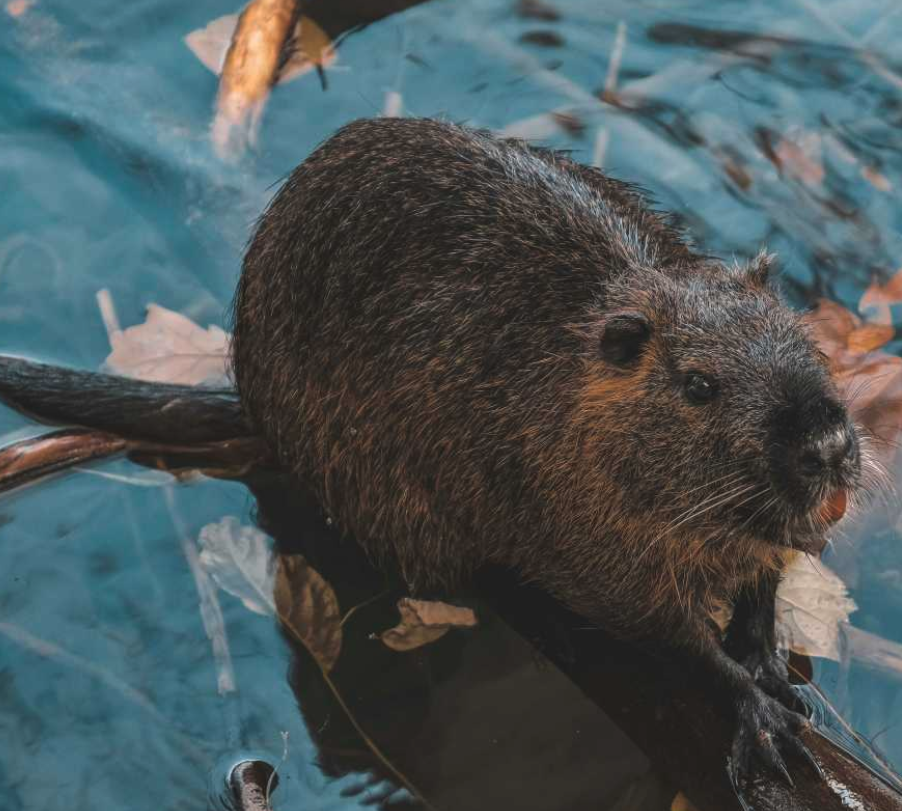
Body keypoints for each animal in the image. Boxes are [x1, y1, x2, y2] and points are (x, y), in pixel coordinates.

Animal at [0, 119, 876, 792]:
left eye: (796, 329)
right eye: (698, 384)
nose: (828, 444)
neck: (567, 383)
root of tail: (245, 402)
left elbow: (765, 576)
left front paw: (766, 653)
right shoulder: (580, 527)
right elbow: (661, 627)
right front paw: (757, 707)